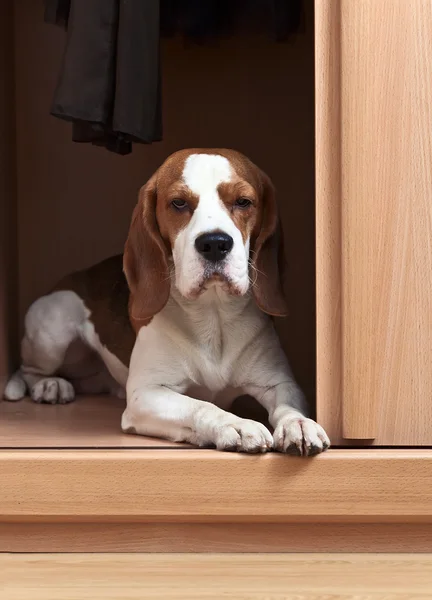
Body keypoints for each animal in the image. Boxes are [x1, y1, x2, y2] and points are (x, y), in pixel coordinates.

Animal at [4, 149, 330, 454]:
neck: (213, 316)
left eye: (243, 201)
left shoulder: (280, 383)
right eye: (179, 203)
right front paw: (236, 424)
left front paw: (298, 424)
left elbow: (289, 406)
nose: (215, 243)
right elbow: (202, 406)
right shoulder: (147, 395)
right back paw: (50, 385)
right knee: (29, 370)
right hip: (52, 330)